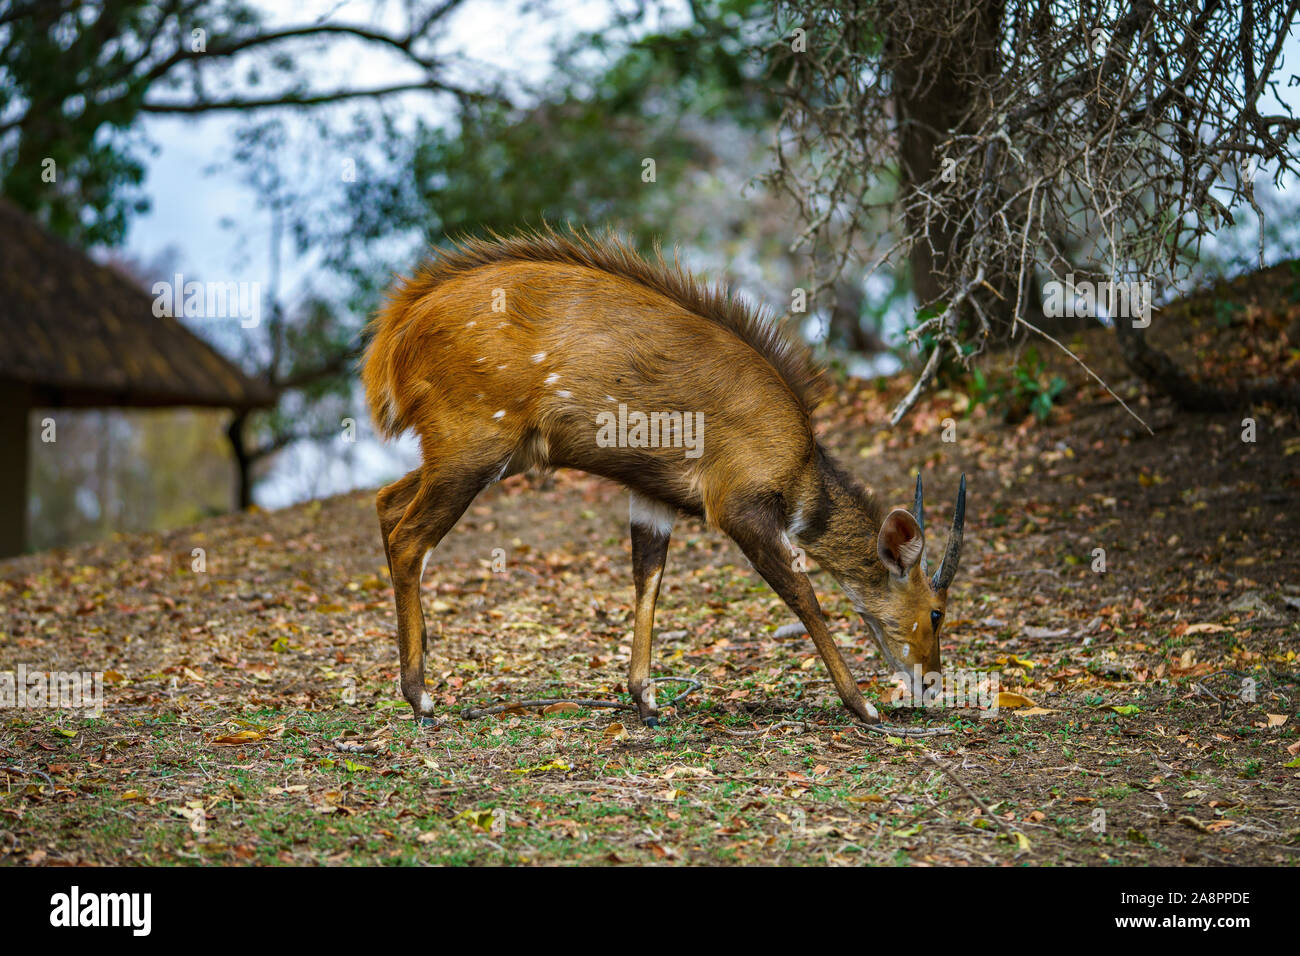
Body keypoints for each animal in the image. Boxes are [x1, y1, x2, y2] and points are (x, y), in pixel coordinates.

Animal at [364, 227, 967, 728]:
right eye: (936, 614)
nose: (931, 683)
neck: (800, 466)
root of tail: (396, 335)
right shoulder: (739, 506)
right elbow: (803, 595)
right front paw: (864, 707)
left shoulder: (653, 497)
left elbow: (647, 577)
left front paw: (646, 700)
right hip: (473, 448)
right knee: (410, 538)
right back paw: (422, 699)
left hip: (491, 454)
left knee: (387, 501)